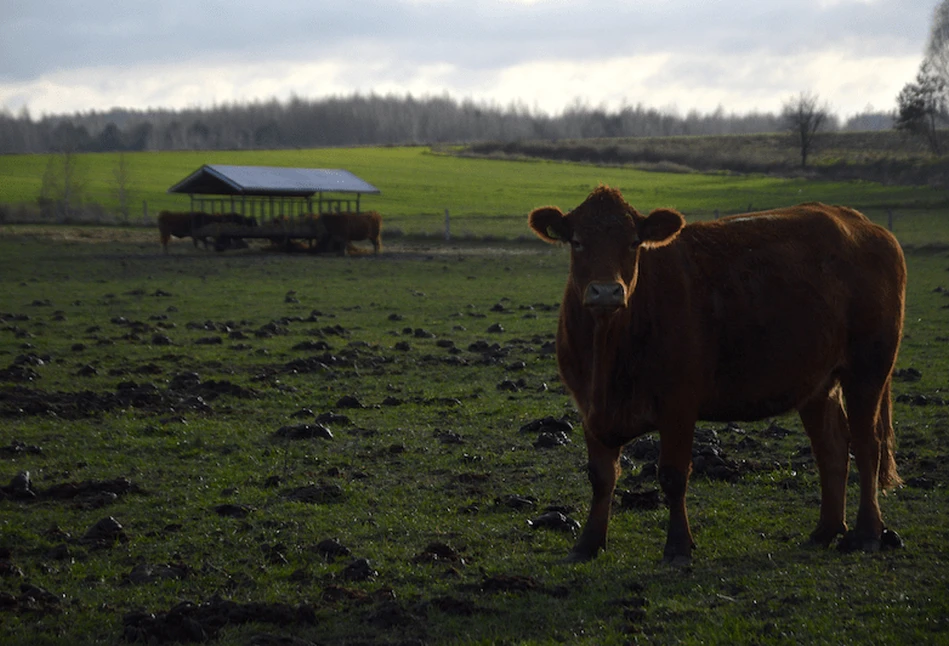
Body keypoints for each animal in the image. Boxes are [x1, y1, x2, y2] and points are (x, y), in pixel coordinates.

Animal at [528, 187, 908, 568]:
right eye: (577, 242)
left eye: (634, 242)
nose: (606, 291)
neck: (608, 354)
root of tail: (862, 224)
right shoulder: (588, 407)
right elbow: (601, 477)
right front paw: (587, 543)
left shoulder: (679, 403)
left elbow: (673, 475)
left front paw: (678, 547)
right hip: (818, 382)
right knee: (831, 447)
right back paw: (825, 531)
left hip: (868, 368)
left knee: (867, 445)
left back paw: (868, 533)